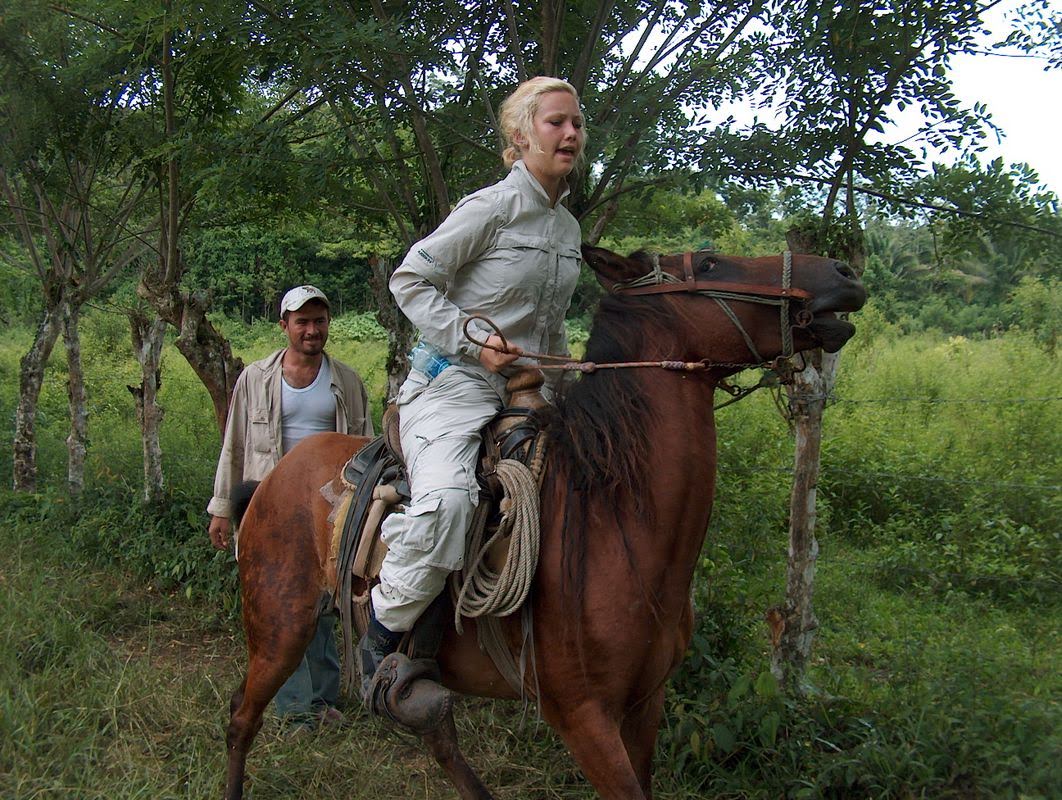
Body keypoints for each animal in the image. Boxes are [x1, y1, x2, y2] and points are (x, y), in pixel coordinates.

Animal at [221, 246, 862, 794]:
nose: (844, 273)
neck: (611, 524)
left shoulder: (645, 704)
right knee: (241, 719)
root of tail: (273, 476)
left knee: (435, 732)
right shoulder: (582, 718)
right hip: (278, 629)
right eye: (707, 261)